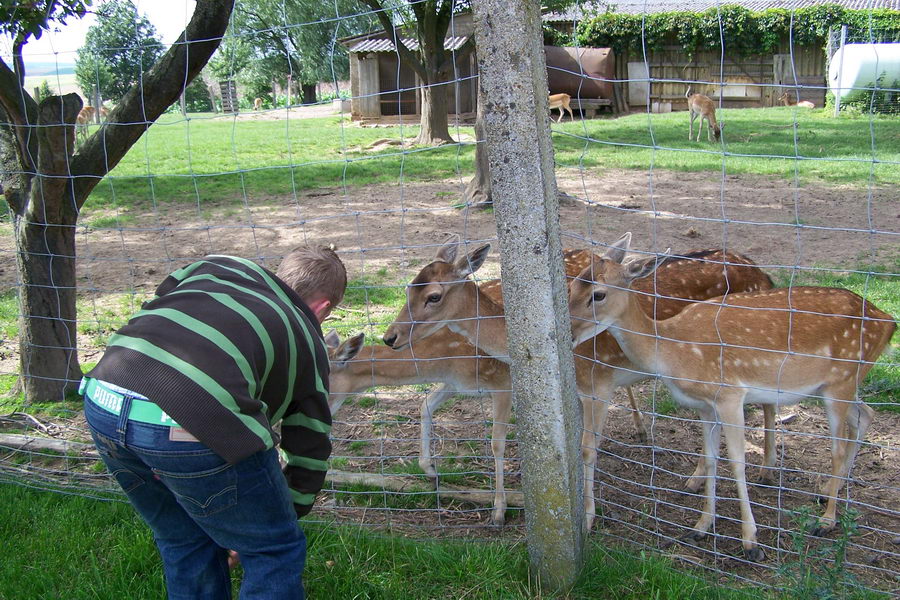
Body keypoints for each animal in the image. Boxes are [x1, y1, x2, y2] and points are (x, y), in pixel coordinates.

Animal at [380, 238, 772, 528]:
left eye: (433, 295)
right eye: (407, 288)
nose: (390, 336)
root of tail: (765, 275)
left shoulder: (597, 386)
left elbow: (583, 448)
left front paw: (583, 517)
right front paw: (430, 470)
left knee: (764, 404)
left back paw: (764, 473)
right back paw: (696, 478)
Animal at [568, 232, 896, 560]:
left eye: (598, 294)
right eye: (570, 288)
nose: (569, 333)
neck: (674, 351)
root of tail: (888, 321)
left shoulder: (729, 395)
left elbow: (737, 461)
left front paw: (751, 541)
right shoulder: (704, 406)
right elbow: (712, 458)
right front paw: (701, 527)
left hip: (841, 381)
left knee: (837, 446)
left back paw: (826, 520)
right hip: (839, 384)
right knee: (865, 415)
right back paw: (829, 490)